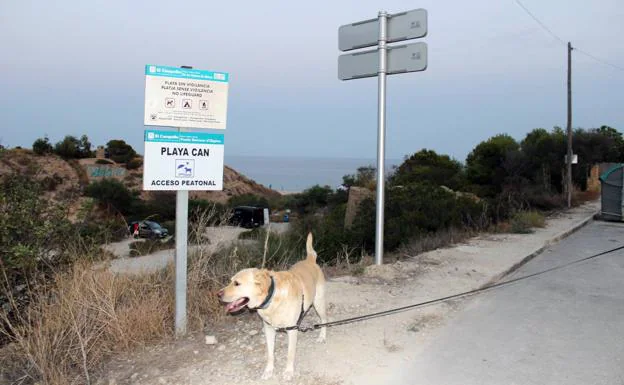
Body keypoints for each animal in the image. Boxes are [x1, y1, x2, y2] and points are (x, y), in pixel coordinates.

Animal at [218, 231, 330, 378]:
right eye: (231, 281)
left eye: (237, 283)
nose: (218, 295)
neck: (272, 297)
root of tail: (310, 259)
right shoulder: (269, 330)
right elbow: (270, 354)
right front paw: (269, 370)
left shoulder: (291, 330)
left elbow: (290, 354)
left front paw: (288, 371)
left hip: (319, 304)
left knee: (325, 319)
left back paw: (322, 336)